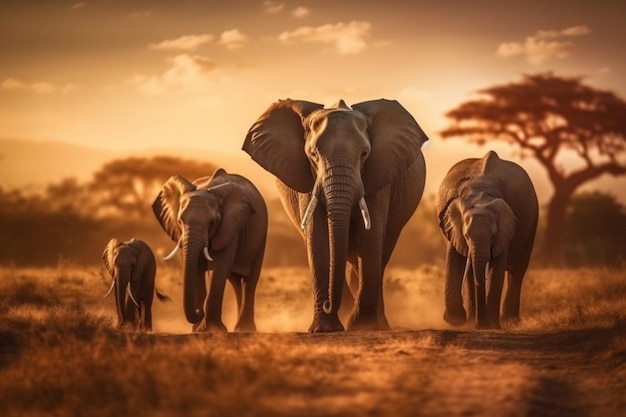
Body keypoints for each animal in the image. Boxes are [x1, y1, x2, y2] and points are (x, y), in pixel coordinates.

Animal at [154, 168, 268, 332]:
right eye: (180, 221)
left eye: (212, 222)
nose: (198, 310)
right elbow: (196, 269)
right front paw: (198, 330)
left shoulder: (228, 227)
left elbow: (219, 267)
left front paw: (213, 330)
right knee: (236, 282)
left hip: (261, 235)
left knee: (250, 280)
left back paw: (244, 329)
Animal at [241, 97, 426, 332]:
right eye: (313, 154)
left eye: (364, 154)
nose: (328, 304)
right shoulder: (308, 179)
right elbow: (318, 239)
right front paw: (325, 329)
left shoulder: (380, 175)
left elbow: (370, 238)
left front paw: (363, 327)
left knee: (380, 256)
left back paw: (376, 323)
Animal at [434, 150, 536, 328]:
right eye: (466, 236)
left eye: (493, 236)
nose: (479, 325)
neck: (480, 194)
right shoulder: (452, 227)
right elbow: (454, 260)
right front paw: (456, 321)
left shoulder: (507, 227)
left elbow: (498, 268)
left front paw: (491, 326)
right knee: (470, 273)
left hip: (533, 222)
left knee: (517, 271)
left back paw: (511, 322)